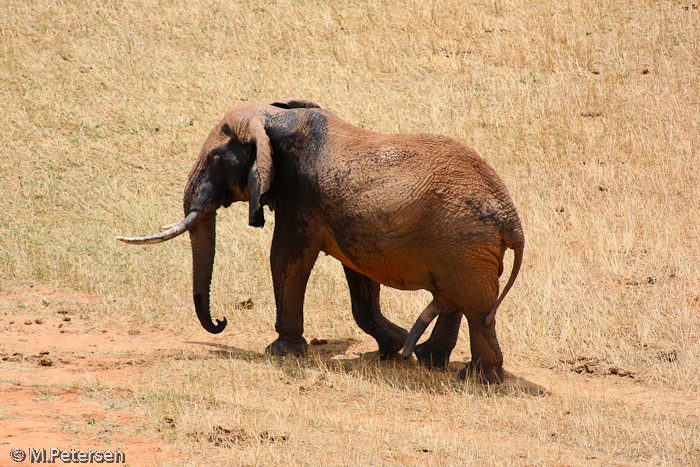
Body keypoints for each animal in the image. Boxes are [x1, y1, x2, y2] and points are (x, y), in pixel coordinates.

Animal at [117, 98, 524, 384]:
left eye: (217, 159)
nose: (221, 320)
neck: (275, 119)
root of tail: (512, 220)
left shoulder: (300, 197)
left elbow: (285, 258)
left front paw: (281, 352)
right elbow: (359, 277)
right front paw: (391, 346)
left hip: (466, 246)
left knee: (476, 309)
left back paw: (476, 379)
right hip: (464, 248)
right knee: (457, 301)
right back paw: (428, 360)